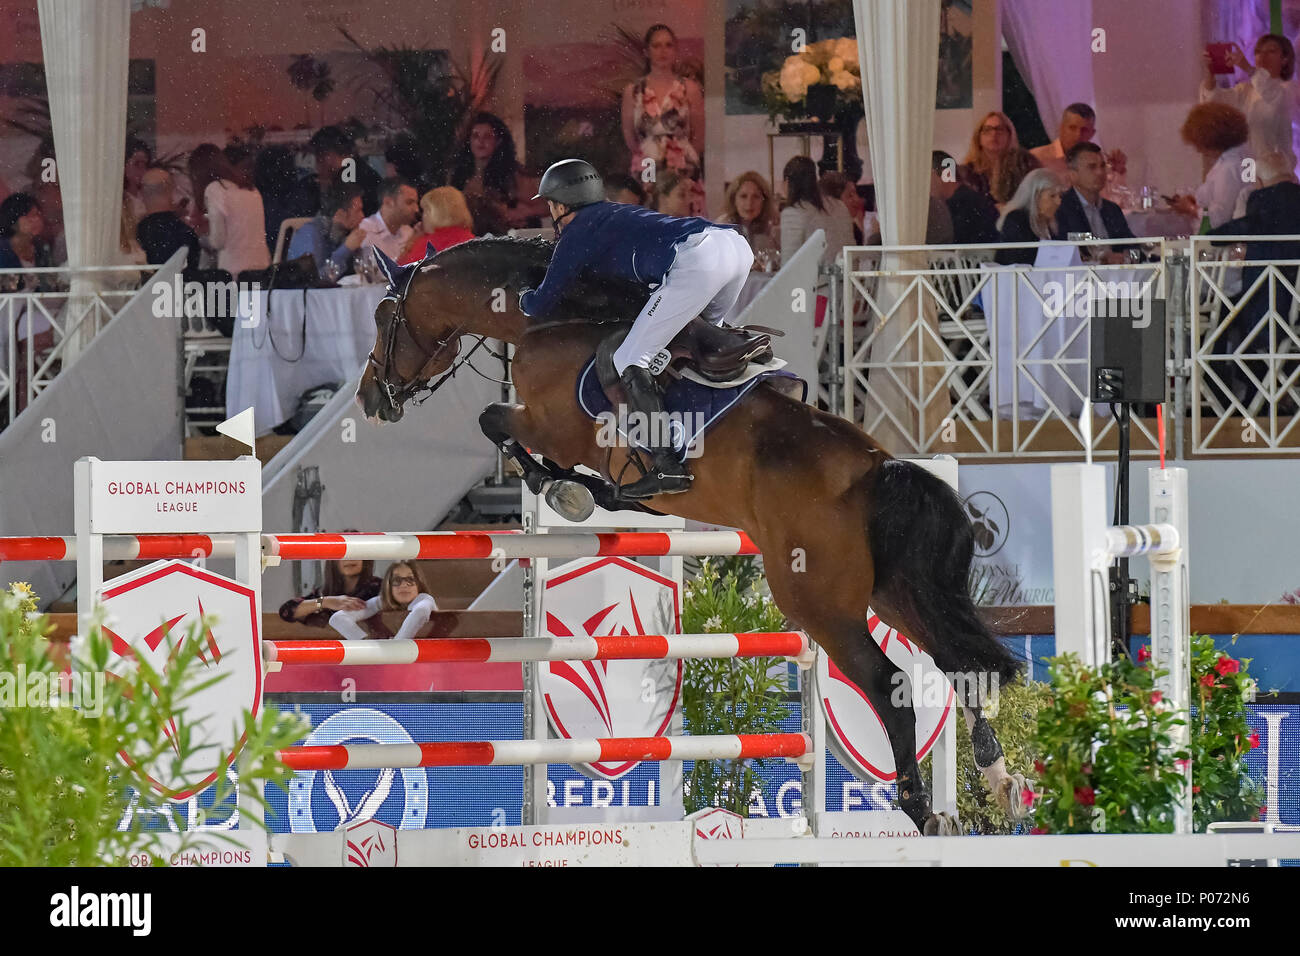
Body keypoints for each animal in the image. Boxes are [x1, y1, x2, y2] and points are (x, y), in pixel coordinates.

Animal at [356, 239, 1024, 837]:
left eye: (384, 317)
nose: (368, 398)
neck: (552, 318)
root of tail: (878, 471)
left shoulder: (551, 425)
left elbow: (494, 422)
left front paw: (566, 489)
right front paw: (592, 492)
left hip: (818, 603)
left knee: (889, 685)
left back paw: (921, 810)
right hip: (891, 591)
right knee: (955, 662)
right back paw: (999, 782)